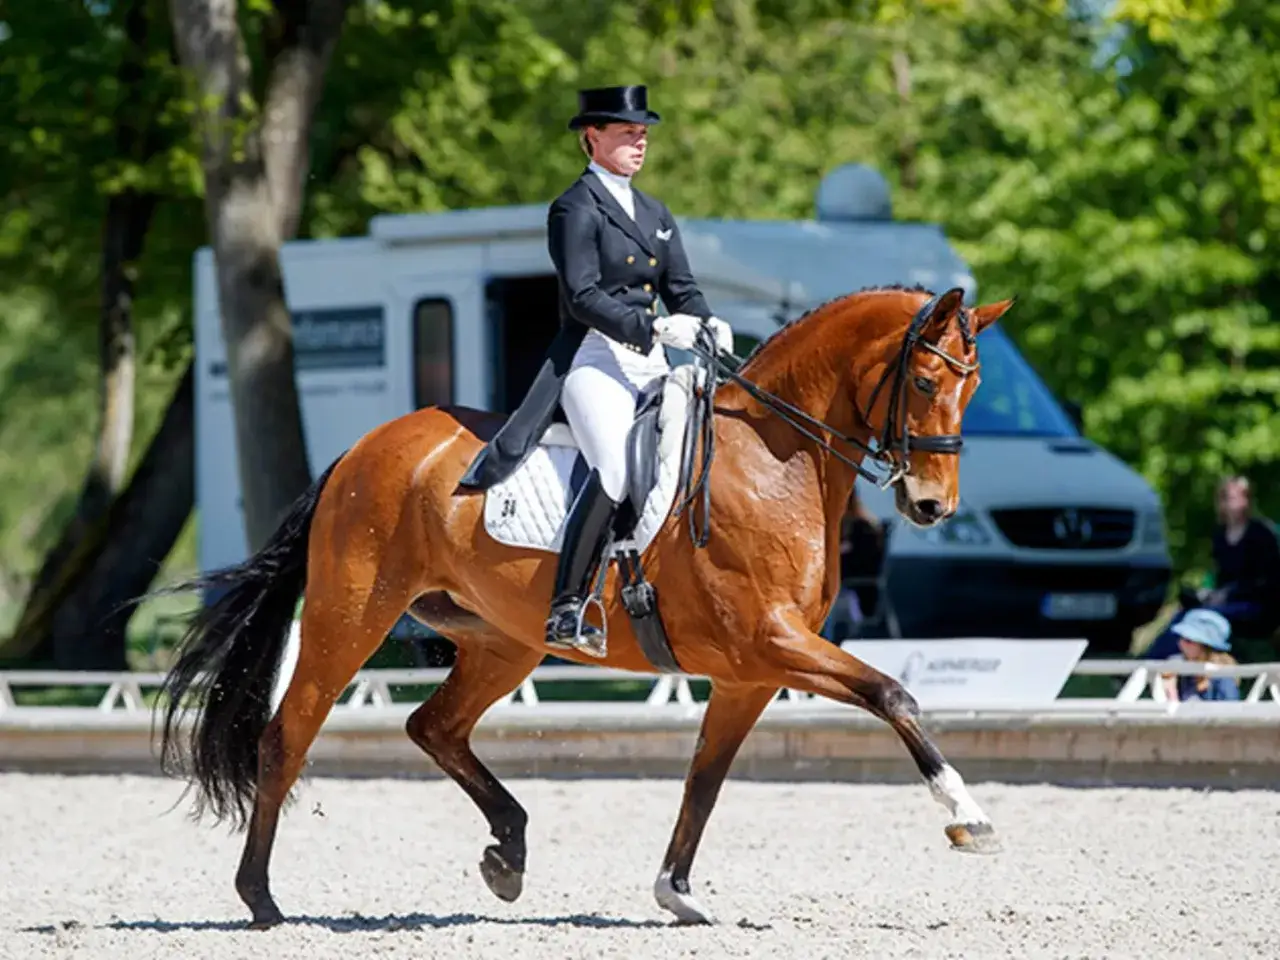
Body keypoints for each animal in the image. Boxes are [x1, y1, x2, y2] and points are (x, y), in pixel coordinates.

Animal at [155, 283, 1013, 929]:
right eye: (927, 383)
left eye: (971, 388)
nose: (933, 506)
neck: (776, 458)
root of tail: (364, 449)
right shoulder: (771, 642)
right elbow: (893, 694)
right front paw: (969, 818)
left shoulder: (751, 674)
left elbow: (705, 781)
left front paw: (676, 891)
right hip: (351, 619)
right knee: (287, 735)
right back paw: (261, 900)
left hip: (506, 643)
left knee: (433, 727)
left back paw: (508, 853)